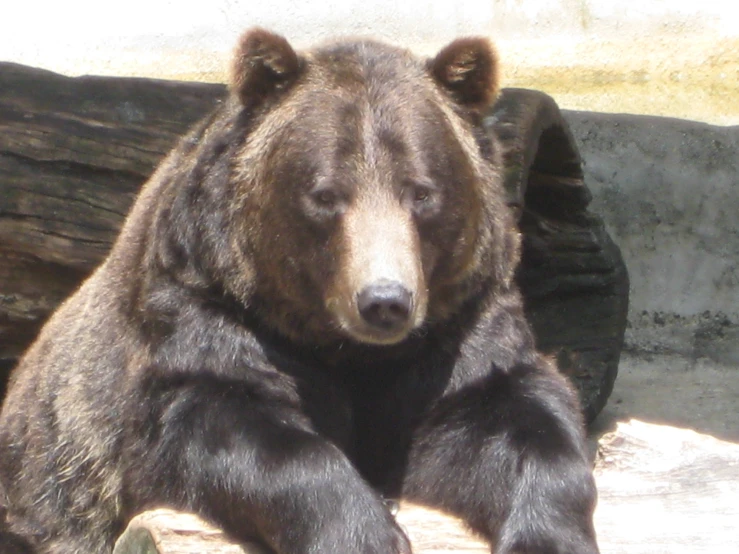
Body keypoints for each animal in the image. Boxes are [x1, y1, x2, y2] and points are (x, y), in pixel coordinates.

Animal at [0, 29, 600, 552]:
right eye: (326, 194)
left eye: (422, 192)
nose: (385, 302)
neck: (346, 348)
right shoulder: (211, 312)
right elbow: (232, 423)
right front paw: (364, 534)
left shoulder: (455, 326)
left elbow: (510, 416)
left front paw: (548, 535)